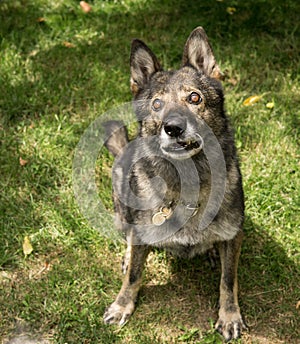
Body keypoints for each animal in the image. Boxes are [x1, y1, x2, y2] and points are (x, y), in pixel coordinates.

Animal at [102, 27, 246, 342]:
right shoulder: (140, 232)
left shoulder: (233, 235)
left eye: (194, 97)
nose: (174, 127)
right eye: (157, 104)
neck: (187, 182)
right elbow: (134, 275)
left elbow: (228, 280)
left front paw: (229, 316)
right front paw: (122, 305)